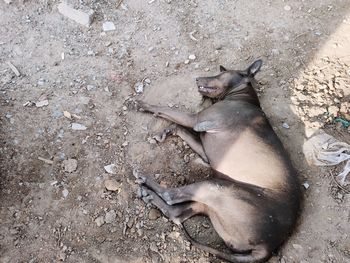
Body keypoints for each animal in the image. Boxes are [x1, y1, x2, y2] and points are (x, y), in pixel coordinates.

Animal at [134, 60, 300, 263]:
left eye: (221, 73)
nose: (197, 79)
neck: (241, 97)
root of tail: (268, 246)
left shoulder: (196, 119)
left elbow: (166, 109)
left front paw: (143, 104)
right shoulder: (205, 150)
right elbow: (177, 127)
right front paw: (165, 132)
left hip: (217, 187)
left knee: (171, 196)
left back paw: (145, 182)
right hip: (210, 202)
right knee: (175, 213)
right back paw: (150, 196)